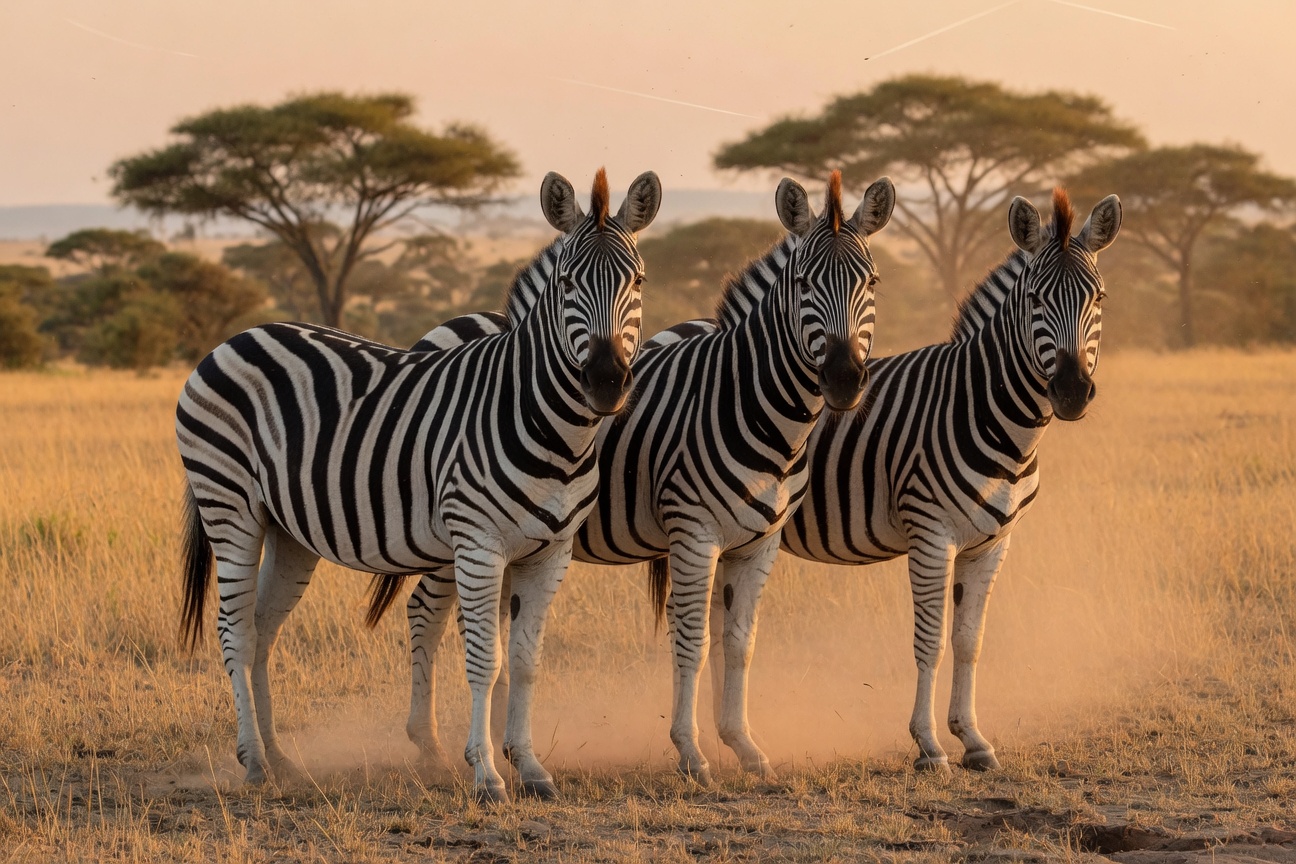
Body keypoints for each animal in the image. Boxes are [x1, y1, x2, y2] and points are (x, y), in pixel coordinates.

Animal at [175, 168, 662, 801]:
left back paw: (279, 758)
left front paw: (531, 768)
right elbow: (485, 660)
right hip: (229, 505)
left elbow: (526, 660)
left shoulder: (550, 552)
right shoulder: (478, 545)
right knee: (234, 630)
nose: (605, 381)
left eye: (639, 280)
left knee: (261, 629)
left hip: (288, 531)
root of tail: (234, 338)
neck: (550, 427)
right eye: (567, 283)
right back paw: (254, 762)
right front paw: (486, 774)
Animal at [400, 172, 897, 784]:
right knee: (426, 610)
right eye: (804, 283)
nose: (845, 379)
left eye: (871, 282)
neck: (745, 399)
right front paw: (691, 752)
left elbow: (739, 642)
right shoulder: (694, 532)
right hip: (448, 530)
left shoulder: (759, 541)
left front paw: (744, 745)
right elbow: (692, 641)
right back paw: (429, 746)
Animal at [708, 188, 1123, 773]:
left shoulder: (993, 542)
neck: (982, 408)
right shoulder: (932, 536)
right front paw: (928, 745)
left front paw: (973, 739)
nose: (1070, 391)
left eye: (1099, 297)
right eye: (1036, 300)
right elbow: (931, 641)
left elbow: (969, 640)